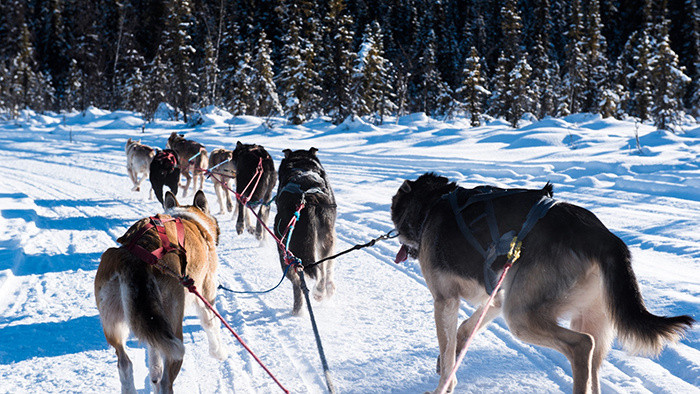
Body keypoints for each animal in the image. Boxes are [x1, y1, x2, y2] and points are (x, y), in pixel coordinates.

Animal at [94, 189, 226, 392]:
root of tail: (134, 258)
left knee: (125, 363)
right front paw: (219, 352)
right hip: (174, 327)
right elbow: (211, 324)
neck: (190, 218)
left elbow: (153, 357)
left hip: (119, 324)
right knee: (165, 380)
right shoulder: (206, 292)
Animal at [274, 149, 338, 316]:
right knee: (322, 269)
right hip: (325, 241)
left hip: (286, 252)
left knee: (299, 283)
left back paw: (299, 308)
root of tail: (306, 198)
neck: (302, 164)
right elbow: (329, 267)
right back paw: (320, 292)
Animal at [392, 173, 692, 394]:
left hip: (521, 317)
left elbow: (447, 349)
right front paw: (450, 358)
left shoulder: (445, 300)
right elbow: (463, 332)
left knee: (581, 346)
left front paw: (443, 383)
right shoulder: (495, 299)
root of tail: (602, 236)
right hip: (587, 316)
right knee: (592, 361)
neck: (433, 204)